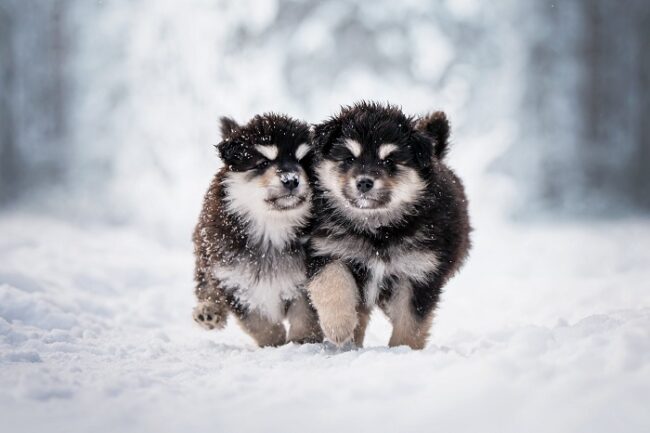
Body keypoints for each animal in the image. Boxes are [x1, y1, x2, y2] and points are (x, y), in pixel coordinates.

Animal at [192, 113, 324, 346]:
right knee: (205, 285)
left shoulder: (307, 277)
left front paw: (304, 340)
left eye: (303, 163)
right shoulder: (234, 280)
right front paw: (274, 342)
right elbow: (258, 321)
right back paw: (208, 311)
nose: (291, 179)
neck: (272, 226)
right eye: (263, 163)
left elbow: (305, 313)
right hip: (206, 251)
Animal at [306, 100, 468, 348]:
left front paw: (402, 350)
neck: (377, 230)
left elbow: (410, 322)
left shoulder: (419, 272)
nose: (364, 182)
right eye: (350, 158)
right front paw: (339, 327)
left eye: (390, 161)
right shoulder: (326, 250)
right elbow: (333, 283)